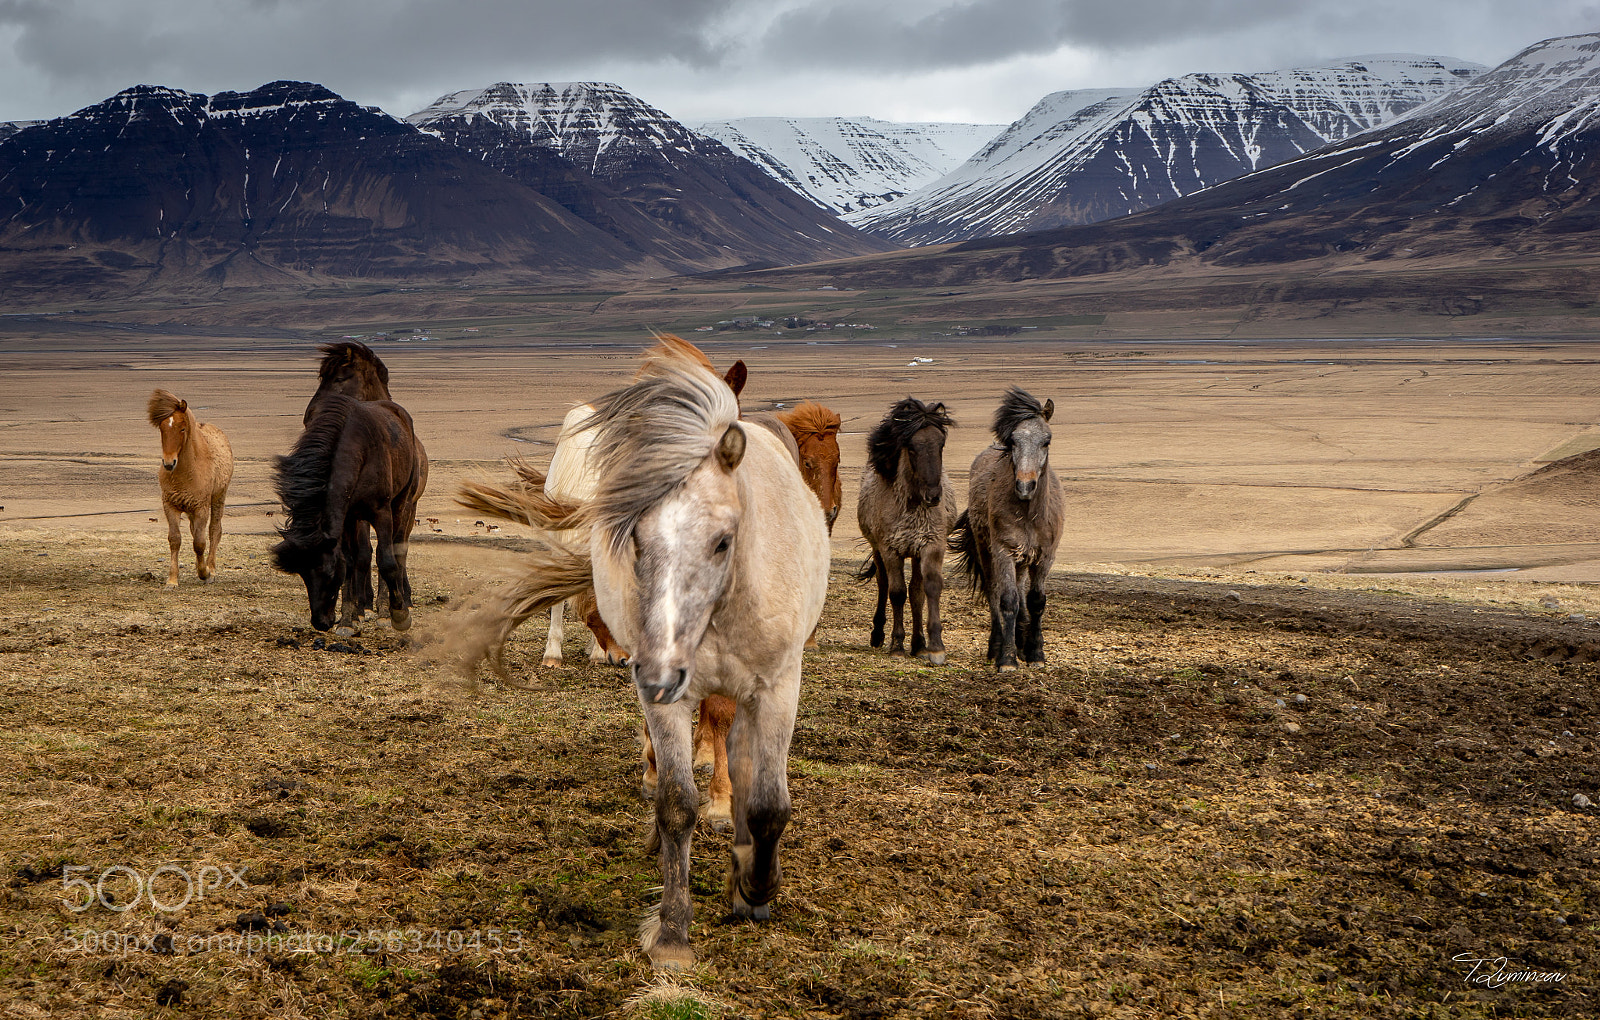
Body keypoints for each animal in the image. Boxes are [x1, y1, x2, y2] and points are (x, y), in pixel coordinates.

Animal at [147, 390, 234, 586]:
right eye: (162, 428)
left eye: (182, 428)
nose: (169, 463)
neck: (187, 472)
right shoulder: (171, 505)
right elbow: (175, 540)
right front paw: (172, 579)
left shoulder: (201, 507)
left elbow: (200, 542)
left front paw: (205, 573)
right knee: (195, 532)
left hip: (219, 498)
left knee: (214, 531)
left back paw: (211, 569)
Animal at [271, 394, 427, 633]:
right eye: (303, 574)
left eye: (328, 573)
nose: (321, 622)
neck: (357, 453)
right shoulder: (346, 518)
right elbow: (350, 561)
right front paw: (348, 619)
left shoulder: (381, 512)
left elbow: (386, 560)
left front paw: (399, 614)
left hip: (404, 505)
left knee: (398, 550)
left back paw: (394, 607)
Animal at [454, 348, 829, 969]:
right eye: (634, 537)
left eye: (723, 540)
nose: (659, 671)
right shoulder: (667, 696)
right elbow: (678, 801)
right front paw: (673, 932)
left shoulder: (778, 685)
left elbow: (769, 803)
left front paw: (754, 888)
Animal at [857, 397, 957, 664]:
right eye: (912, 448)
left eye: (941, 444)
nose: (934, 496)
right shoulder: (891, 549)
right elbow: (897, 592)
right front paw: (897, 645)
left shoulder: (931, 546)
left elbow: (928, 589)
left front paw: (934, 646)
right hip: (879, 550)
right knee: (883, 584)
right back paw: (878, 634)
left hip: (915, 553)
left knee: (916, 592)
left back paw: (919, 644)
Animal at [950, 388, 1065, 670]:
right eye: (1013, 441)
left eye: (1046, 440)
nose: (1025, 486)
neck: (1030, 513)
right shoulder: (1003, 552)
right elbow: (1008, 600)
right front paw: (1007, 658)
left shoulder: (1045, 556)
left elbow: (1036, 601)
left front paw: (1035, 653)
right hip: (987, 551)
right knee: (993, 591)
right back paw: (997, 645)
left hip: (1023, 560)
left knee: (1022, 590)